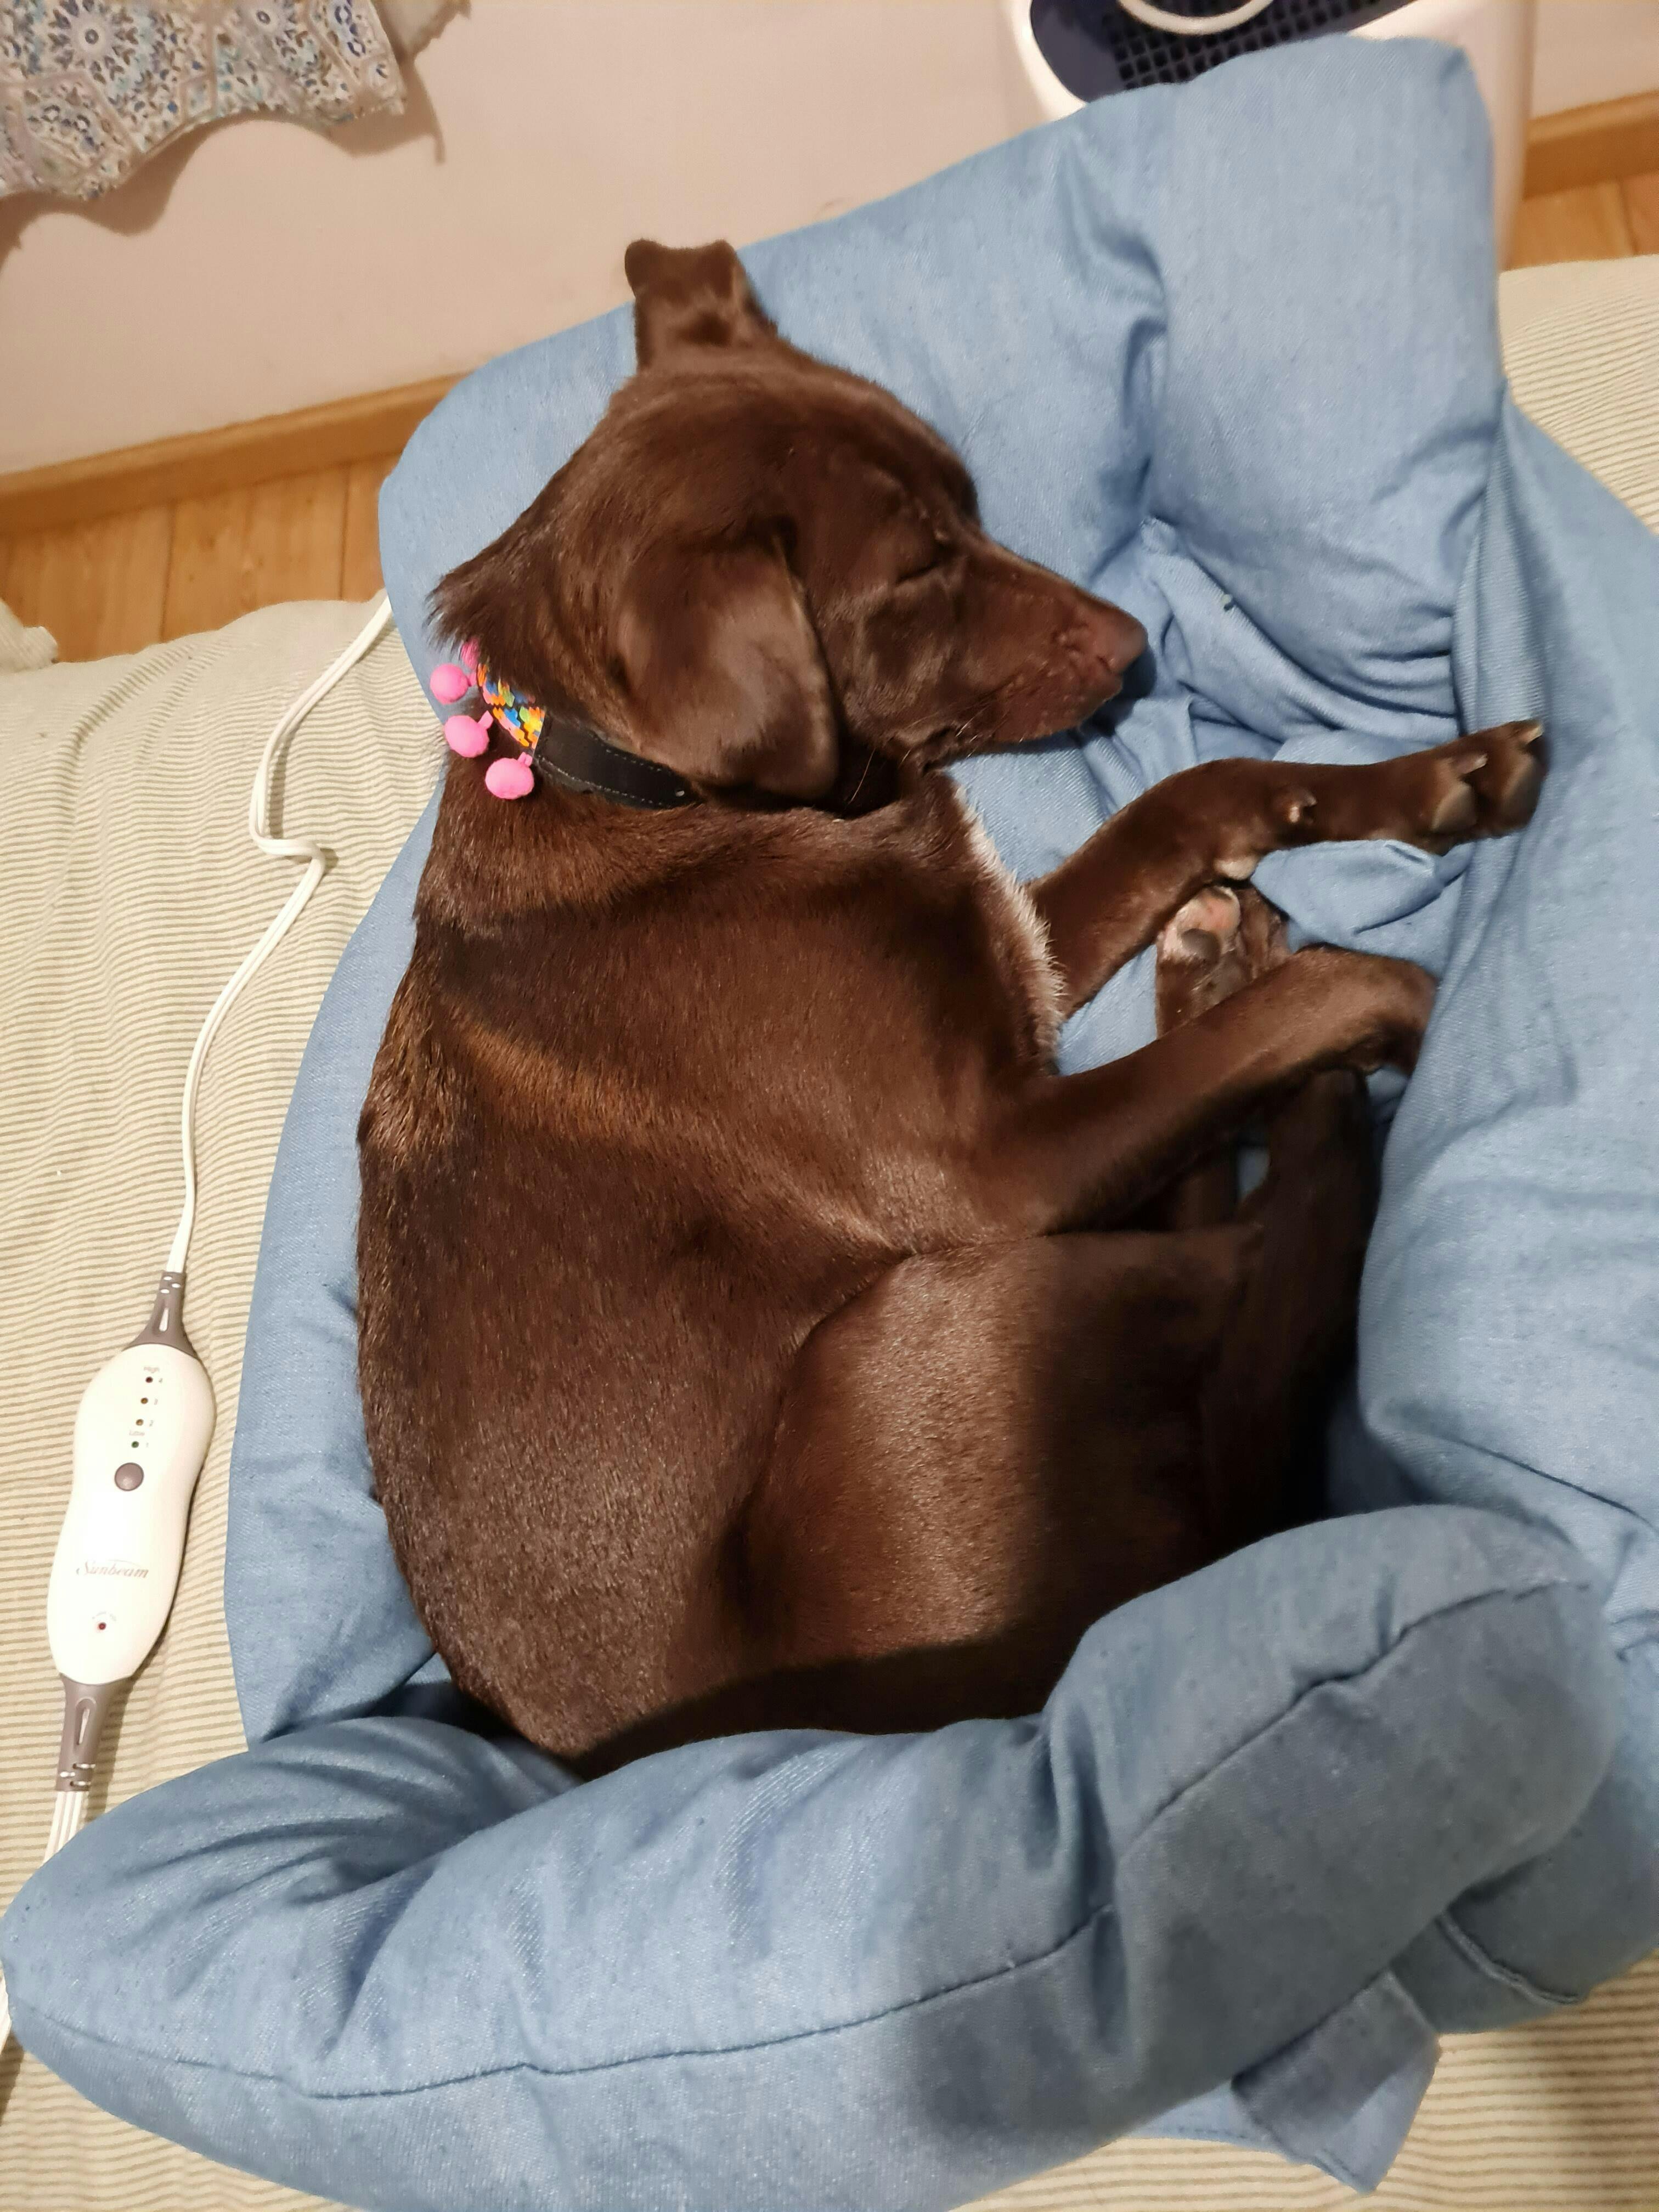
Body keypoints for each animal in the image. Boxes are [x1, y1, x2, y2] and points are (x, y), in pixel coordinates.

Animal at [357, 239, 1542, 1774]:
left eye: (973, 507)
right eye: (916, 571)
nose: (1136, 648)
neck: (669, 801)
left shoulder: (1017, 968)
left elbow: (1199, 792)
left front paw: (1439, 777)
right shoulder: (990, 1162)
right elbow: (1271, 1020)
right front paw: (1377, 993)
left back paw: (1214, 967)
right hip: (916, 1329)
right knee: (1256, 1282)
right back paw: (1313, 1086)